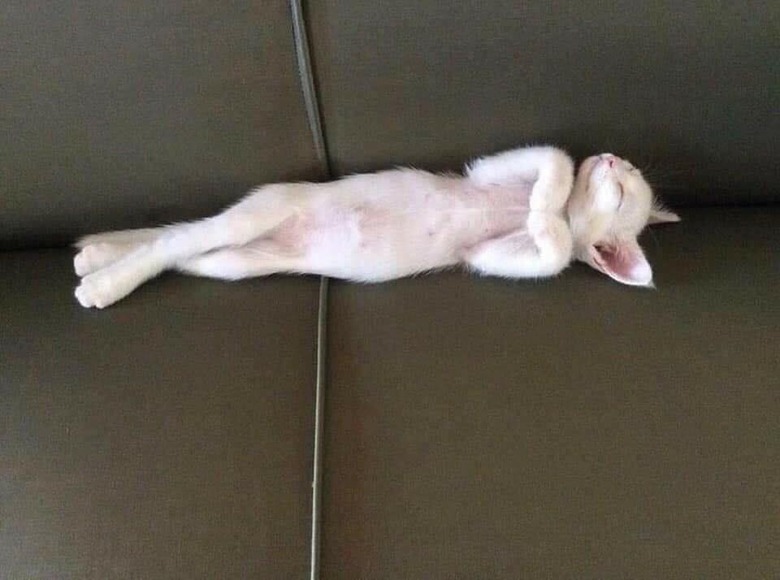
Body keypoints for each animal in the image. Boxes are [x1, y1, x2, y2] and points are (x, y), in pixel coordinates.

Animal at [76, 145, 680, 308]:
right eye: (624, 175)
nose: (609, 158)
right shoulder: (491, 170)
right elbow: (554, 159)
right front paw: (544, 199)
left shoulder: (490, 255)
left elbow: (549, 253)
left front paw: (542, 219)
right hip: (265, 209)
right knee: (179, 237)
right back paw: (104, 280)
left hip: (240, 263)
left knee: (185, 253)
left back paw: (96, 262)